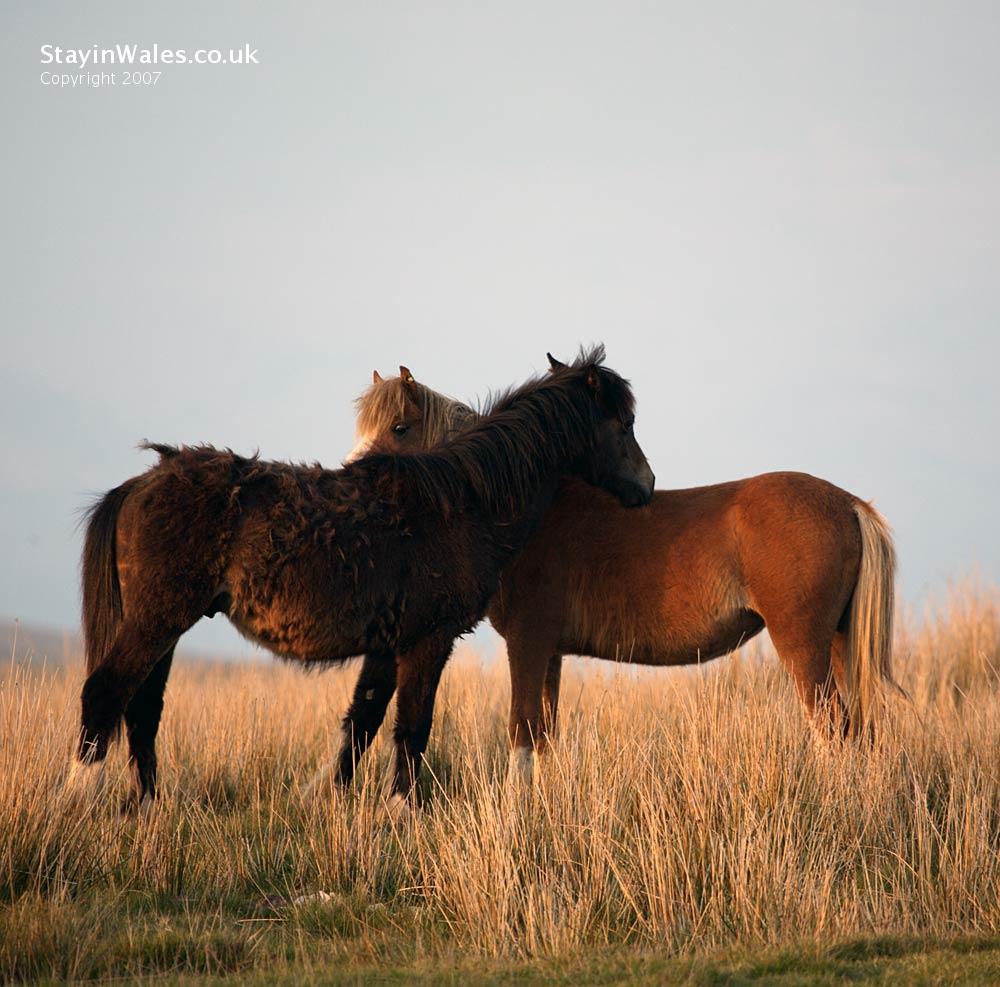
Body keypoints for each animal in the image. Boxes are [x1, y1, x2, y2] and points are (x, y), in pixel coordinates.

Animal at [71, 347, 654, 809]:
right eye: (624, 422)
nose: (647, 485)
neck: (464, 500)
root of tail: (144, 481)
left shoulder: (386, 646)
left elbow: (362, 722)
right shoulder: (428, 641)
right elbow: (412, 727)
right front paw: (401, 813)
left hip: (165, 627)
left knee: (143, 709)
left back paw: (149, 807)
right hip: (157, 620)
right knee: (105, 694)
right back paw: (76, 804)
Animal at [344, 358, 900, 781]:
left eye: (397, 428)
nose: (351, 480)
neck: (529, 509)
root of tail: (849, 504)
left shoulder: (526, 644)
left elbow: (521, 736)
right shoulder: (550, 653)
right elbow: (544, 738)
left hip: (803, 647)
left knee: (832, 731)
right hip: (839, 643)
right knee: (859, 732)